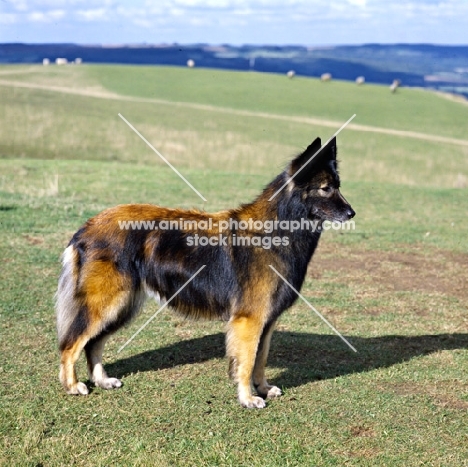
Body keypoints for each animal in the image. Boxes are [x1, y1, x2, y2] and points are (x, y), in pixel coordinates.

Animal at [55, 136, 354, 410]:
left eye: (338, 186)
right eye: (326, 189)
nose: (351, 213)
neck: (277, 230)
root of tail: (86, 227)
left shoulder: (267, 321)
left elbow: (261, 359)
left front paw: (263, 388)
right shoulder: (250, 319)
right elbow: (247, 361)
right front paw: (248, 398)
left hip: (122, 306)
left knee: (93, 344)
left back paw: (102, 381)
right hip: (107, 304)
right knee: (71, 344)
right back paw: (72, 385)